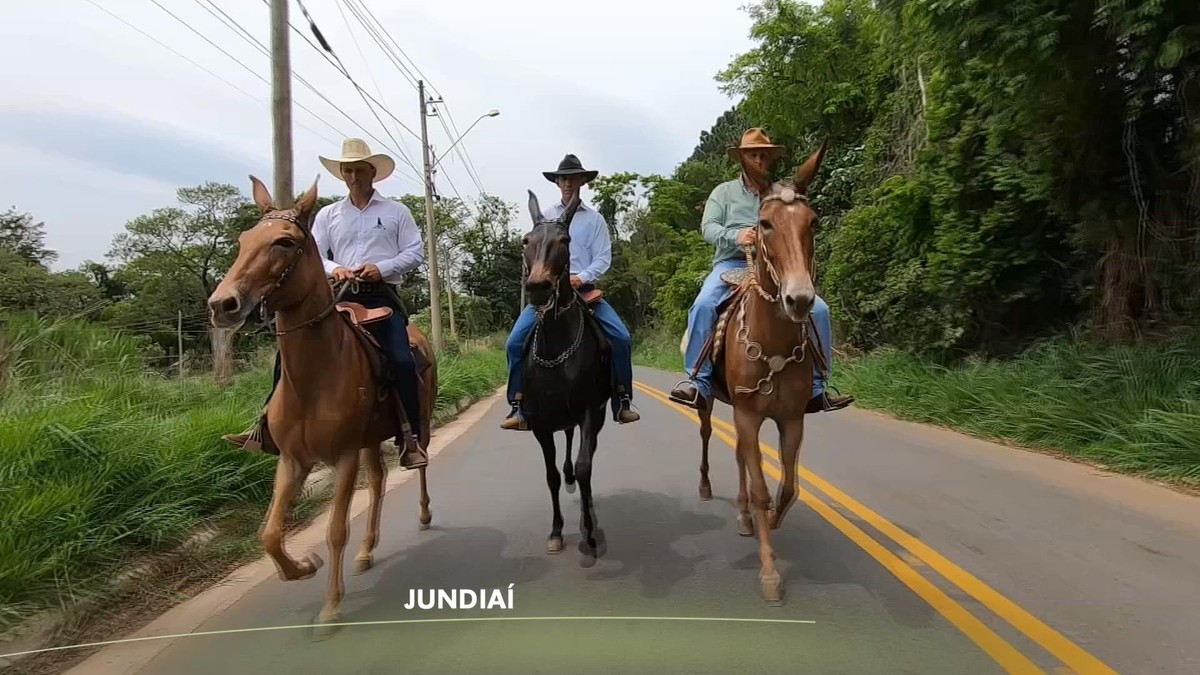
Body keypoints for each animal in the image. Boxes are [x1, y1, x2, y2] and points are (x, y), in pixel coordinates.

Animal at [208, 176, 439, 634]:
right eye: (243, 240)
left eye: (284, 242)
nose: (221, 305)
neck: (312, 380)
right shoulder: (293, 460)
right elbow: (269, 534)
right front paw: (302, 567)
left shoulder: (343, 455)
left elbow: (334, 530)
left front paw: (330, 607)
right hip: (370, 438)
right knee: (379, 481)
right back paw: (367, 550)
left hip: (418, 418)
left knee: (420, 459)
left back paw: (422, 513)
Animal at [691, 139, 830, 600]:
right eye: (764, 224)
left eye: (812, 222)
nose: (799, 299)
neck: (774, 345)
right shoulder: (749, 415)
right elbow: (760, 490)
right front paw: (769, 573)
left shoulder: (791, 419)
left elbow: (788, 488)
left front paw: (769, 522)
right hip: (712, 405)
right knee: (708, 436)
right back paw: (708, 488)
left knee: (739, 455)